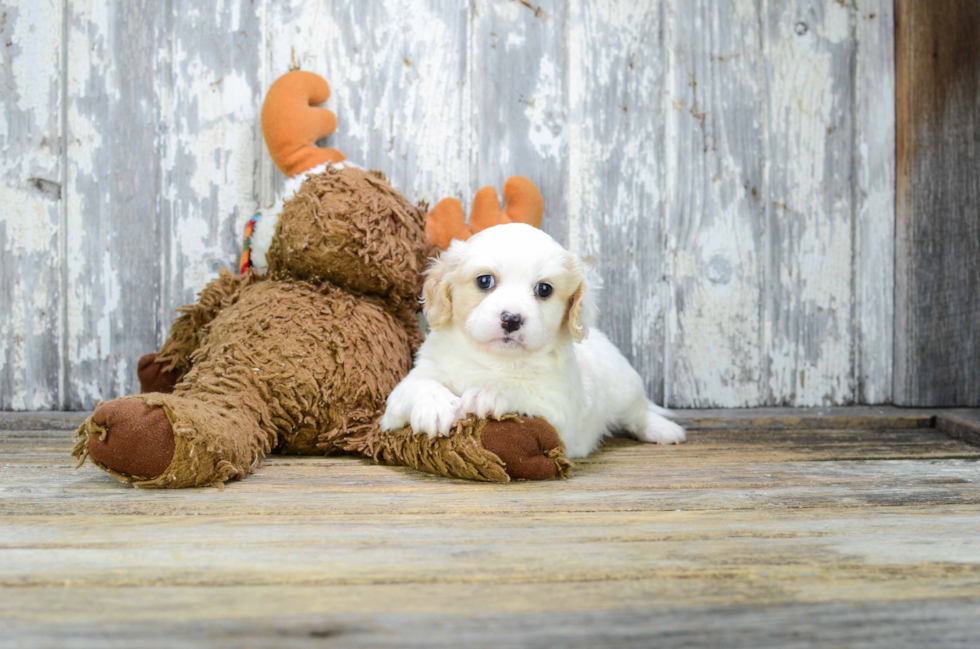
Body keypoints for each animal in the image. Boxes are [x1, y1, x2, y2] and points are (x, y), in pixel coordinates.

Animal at [378, 225, 684, 458]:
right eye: (485, 281)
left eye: (544, 289)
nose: (512, 319)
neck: (493, 359)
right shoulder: (402, 394)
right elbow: (420, 385)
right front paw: (436, 407)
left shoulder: (559, 408)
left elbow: (520, 388)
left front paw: (489, 391)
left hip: (624, 389)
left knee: (638, 413)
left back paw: (664, 430)